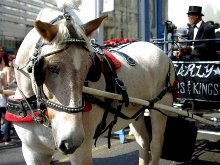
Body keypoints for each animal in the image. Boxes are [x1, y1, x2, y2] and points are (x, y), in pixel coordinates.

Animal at [9, 7, 175, 165]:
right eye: (52, 67)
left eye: (90, 68)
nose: (72, 141)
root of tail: (159, 50)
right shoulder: (33, 153)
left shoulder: (81, 151)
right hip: (136, 111)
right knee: (143, 142)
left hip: (160, 107)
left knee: (156, 145)